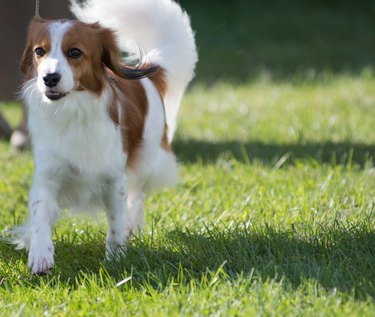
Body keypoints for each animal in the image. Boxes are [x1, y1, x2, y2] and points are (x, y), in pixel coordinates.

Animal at [13, 0, 198, 272]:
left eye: (75, 52)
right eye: (39, 51)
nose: (49, 78)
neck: (74, 111)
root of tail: (147, 72)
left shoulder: (114, 180)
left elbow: (116, 221)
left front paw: (116, 258)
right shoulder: (48, 175)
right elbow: (40, 216)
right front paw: (40, 254)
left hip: (146, 159)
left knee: (137, 196)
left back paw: (132, 226)